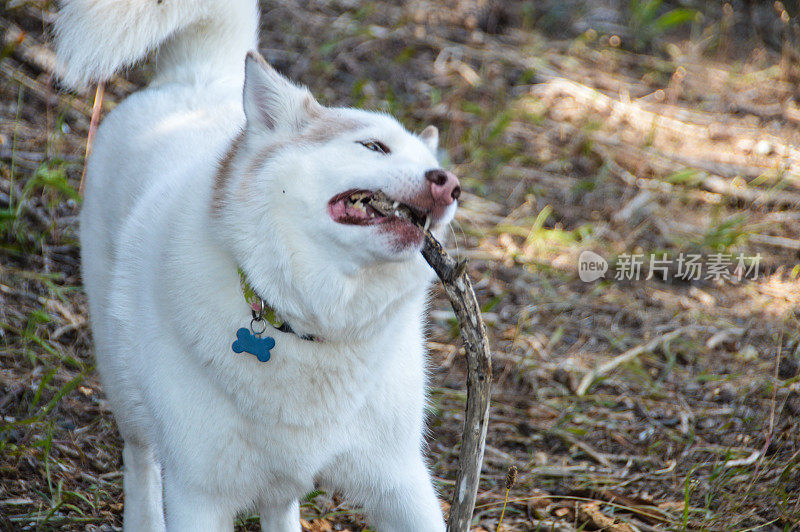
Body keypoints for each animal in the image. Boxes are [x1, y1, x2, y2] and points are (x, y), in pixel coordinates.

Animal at [56, 1, 460, 532]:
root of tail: (196, 74)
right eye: (373, 146)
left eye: (438, 168)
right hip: (122, 383)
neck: (310, 325)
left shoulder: (401, 481)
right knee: (139, 457)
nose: (450, 184)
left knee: (279, 502)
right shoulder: (199, 495)